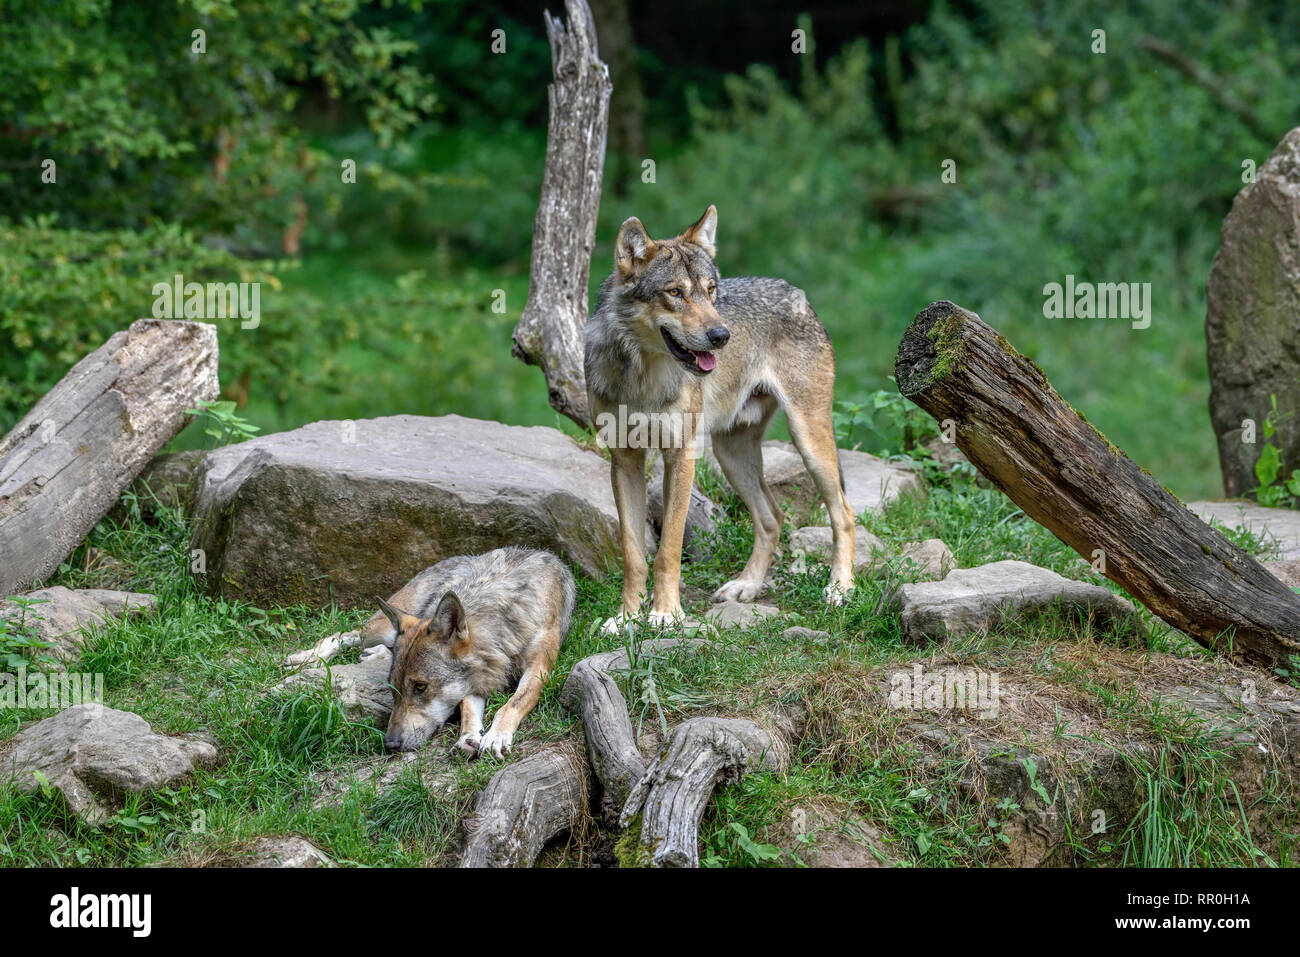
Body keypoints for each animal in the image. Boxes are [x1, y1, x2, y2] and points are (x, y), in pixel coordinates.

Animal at [584, 205, 855, 632]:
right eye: (675, 293)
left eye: (711, 291)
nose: (721, 335)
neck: (643, 376)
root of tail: (794, 291)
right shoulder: (624, 460)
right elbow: (633, 555)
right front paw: (627, 618)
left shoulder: (681, 456)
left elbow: (668, 550)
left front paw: (665, 615)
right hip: (731, 455)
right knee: (772, 517)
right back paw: (746, 587)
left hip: (808, 441)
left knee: (844, 513)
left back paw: (840, 589)